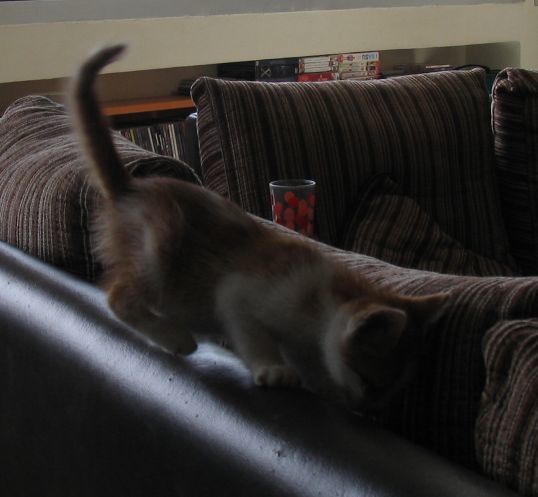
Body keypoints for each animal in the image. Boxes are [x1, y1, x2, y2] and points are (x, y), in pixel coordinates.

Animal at [71, 45, 448, 410]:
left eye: (390, 393)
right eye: (370, 384)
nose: (367, 409)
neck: (318, 310)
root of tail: (130, 189)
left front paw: (318, 385)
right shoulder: (239, 291)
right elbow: (252, 336)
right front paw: (273, 368)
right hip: (158, 255)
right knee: (117, 297)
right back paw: (175, 337)